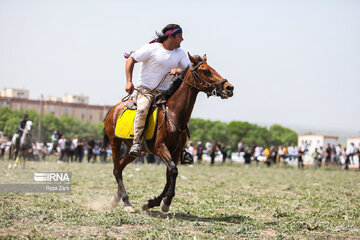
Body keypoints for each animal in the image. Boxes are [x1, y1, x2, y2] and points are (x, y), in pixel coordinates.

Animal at [102, 53, 235, 213]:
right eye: (206, 70)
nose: (229, 87)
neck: (173, 114)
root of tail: (114, 108)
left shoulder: (175, 152)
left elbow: (170, 175)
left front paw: (153, 202)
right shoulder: (161, 148)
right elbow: (173, 170)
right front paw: (165, 202)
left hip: (131, 151)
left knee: (120, 167)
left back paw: (117, 198)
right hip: (115, 142)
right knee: (116, 170)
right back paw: (126, 202)